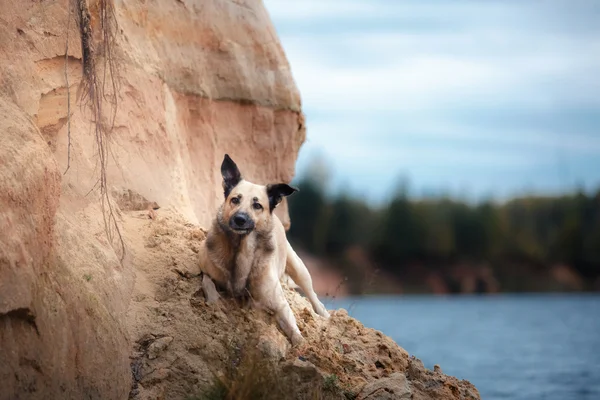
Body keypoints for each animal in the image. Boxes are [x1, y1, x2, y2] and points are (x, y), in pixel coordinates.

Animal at [196, 155, 328, 346]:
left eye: (257, 205)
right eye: (235, 199)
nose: (240, 219)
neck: (241, 249)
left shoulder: (280, 305)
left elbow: (295, 333)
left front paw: (300, 344)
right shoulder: (205, 268)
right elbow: (207, 282)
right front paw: (214, 300)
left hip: (299, 268)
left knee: (313, 295)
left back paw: (325, 314)